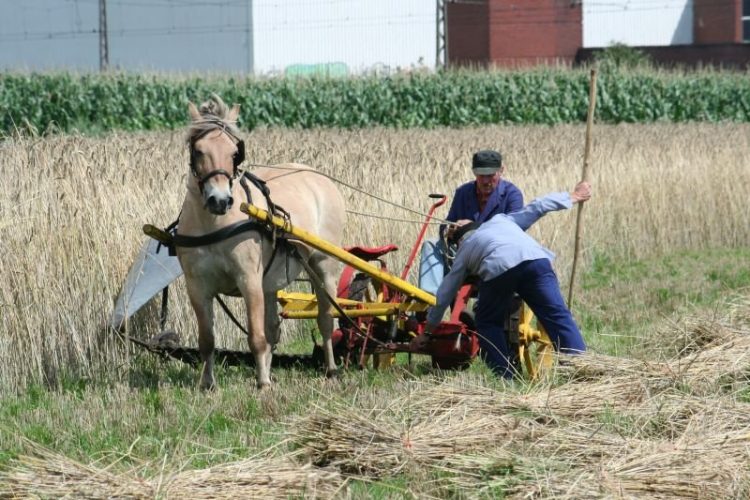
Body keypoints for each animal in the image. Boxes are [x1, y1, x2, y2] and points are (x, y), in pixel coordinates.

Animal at [176, 94, 346, 390]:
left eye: (235, 153)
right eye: (197, 151)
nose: (220, 200)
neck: (215, 225)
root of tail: (318, 177)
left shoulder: (249, 280)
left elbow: (256, 336)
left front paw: (263, 383)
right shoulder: (196, 286)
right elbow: (207, 340)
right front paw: (207, 384)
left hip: (323, 265)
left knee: (325, 320)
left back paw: (331, 368)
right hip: (271, 284)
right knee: (273, 329)